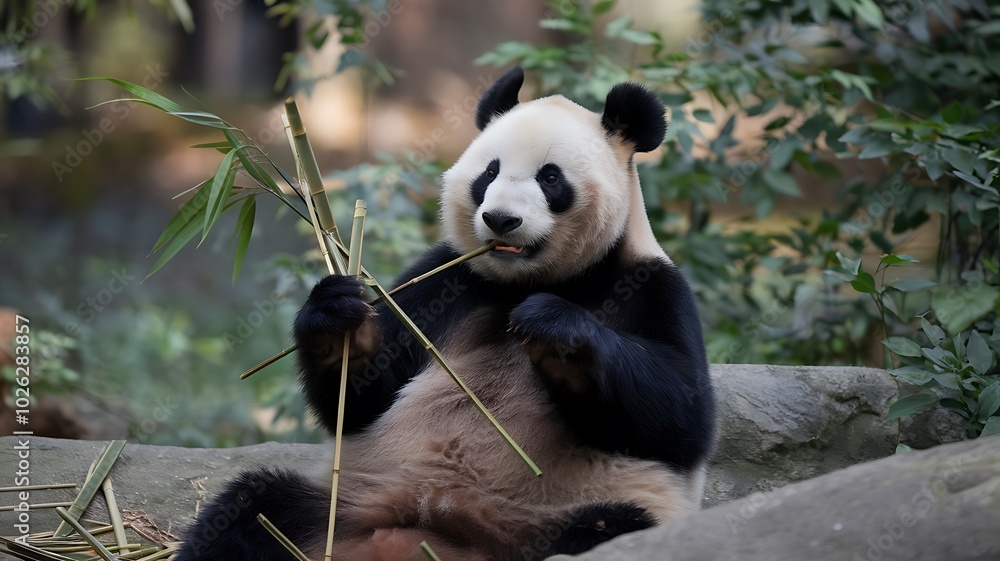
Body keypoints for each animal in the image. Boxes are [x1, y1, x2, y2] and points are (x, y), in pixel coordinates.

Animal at [175, 66, 716, 561]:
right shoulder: (446, 282)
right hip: (348, 502)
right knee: (251, 510)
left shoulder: (651, 287)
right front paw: (338, 318)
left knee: (607, 528)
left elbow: (680, 415)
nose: (500, 219)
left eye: (550, 177)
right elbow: (361, 401)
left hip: (561, 514)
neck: (530, 280)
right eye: (489, 173)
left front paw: (554, 331)